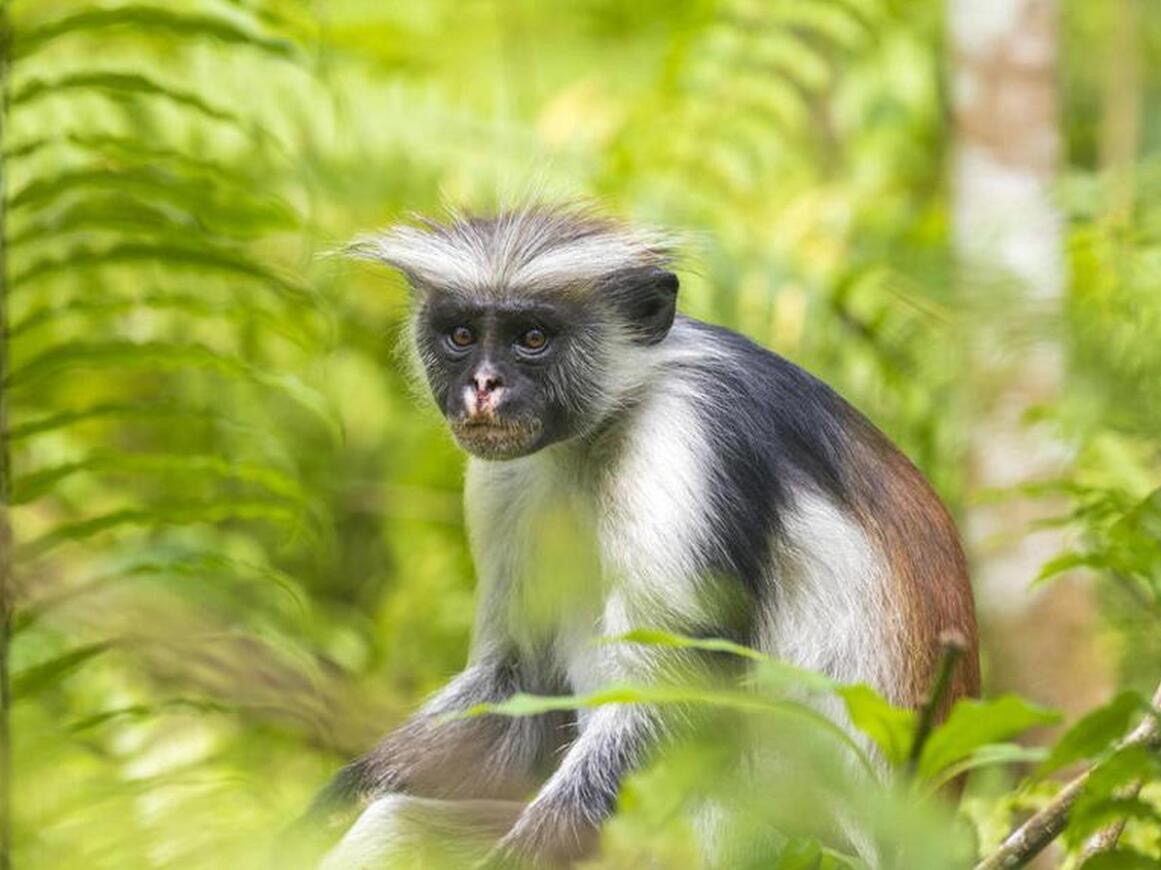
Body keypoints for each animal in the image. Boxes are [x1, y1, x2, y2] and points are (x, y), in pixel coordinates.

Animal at [317, 203, 979, 868]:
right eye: (460, 336)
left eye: (532, 338)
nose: (483, 385)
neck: (602, 425)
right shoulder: (504, 474)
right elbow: (524, 685)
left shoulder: (688, 434)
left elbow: (678, 694)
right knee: (393, 825)